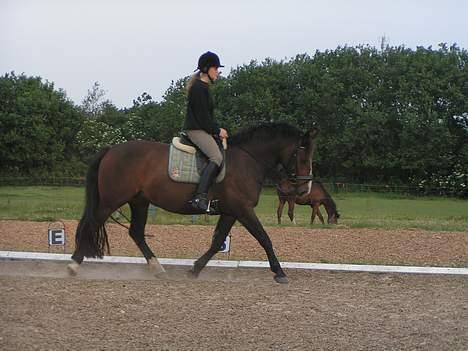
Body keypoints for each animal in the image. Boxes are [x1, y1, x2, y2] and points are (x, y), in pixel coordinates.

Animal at [67, 122, 320, 284]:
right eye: (302, 156)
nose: (304, 190)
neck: (248, 159)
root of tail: (112, 149)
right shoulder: (243, 210)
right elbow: (264, 238)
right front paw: (280, 272)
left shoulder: (231, 212)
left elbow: (218, 242)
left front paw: (195, 270)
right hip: (113, 200)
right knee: (92, 224)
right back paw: (73, 265)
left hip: (139, 201)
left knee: (136, 232)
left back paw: (158, 269)